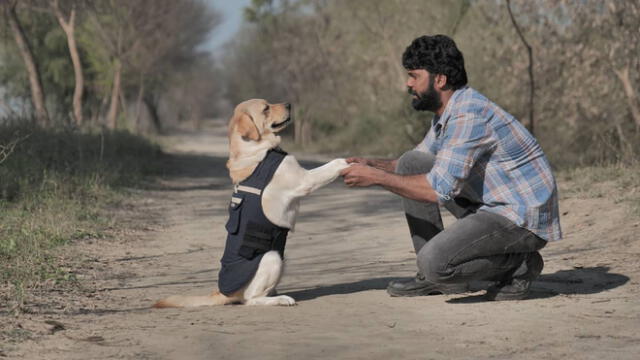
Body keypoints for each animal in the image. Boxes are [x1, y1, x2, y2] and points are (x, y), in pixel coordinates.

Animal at [154, 100, 350, 308]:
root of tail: (222, 292)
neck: (258, 149)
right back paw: (281, 299)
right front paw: (348, 162)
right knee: (251, 300)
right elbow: (332, 164)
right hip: (272, 257)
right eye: (266, 108)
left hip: (282, 256)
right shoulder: (304, 180)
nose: (289, 104)